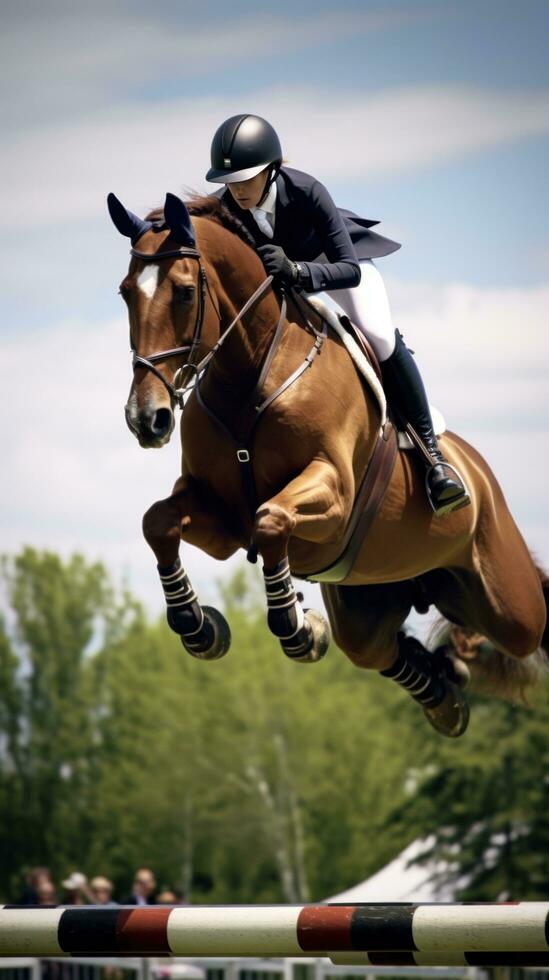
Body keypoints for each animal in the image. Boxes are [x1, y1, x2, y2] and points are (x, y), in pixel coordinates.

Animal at [108, 188, 548, 740]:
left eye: (185, 293)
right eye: (126, 292)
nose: (146, 419)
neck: (252, 370)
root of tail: (480, 471)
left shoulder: (331, 494)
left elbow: (271, 520)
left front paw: (298, 628)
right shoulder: (222, 518)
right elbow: (159, 522)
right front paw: (198, 625)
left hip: (510, 604)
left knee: (525, 626)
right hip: (372, 599)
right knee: (385, 652)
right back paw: (447, 689)